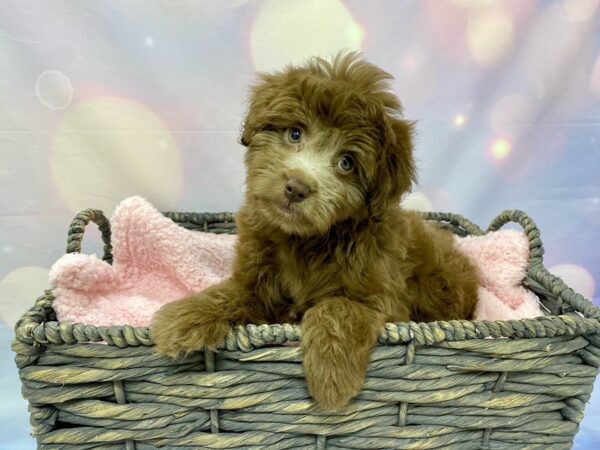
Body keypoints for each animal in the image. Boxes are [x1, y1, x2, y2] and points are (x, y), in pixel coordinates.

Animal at [151, 51, 478, 408]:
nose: (296, 187)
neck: (308, 240)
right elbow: (229, 292)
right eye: (295, 134)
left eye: (347, 162)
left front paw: (332, 375)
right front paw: (183, 318)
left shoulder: (385, 298)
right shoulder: (257, 281)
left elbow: (338, 307)